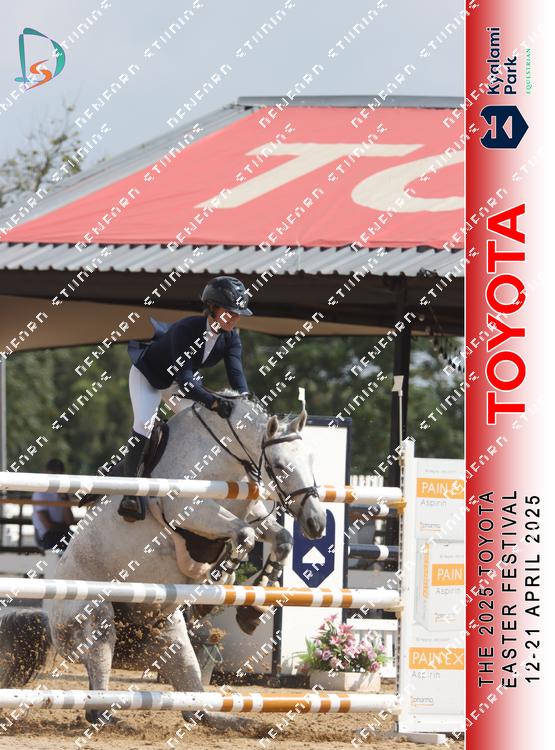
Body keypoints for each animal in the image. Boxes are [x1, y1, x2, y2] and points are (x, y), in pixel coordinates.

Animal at [0, 394, 327, 731]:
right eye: (280, 465)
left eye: (311, 460)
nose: (316, 523)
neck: (223, 454)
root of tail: (49, 621)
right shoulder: (190, 511)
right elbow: (243, 537)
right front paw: (218, 584)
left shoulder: (253, 516)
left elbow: (280, 539)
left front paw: (252, 609)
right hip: (95, 622)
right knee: (96, 704)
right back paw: (115, 719)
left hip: (172, 643)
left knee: (197, 709)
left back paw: (243, 721)